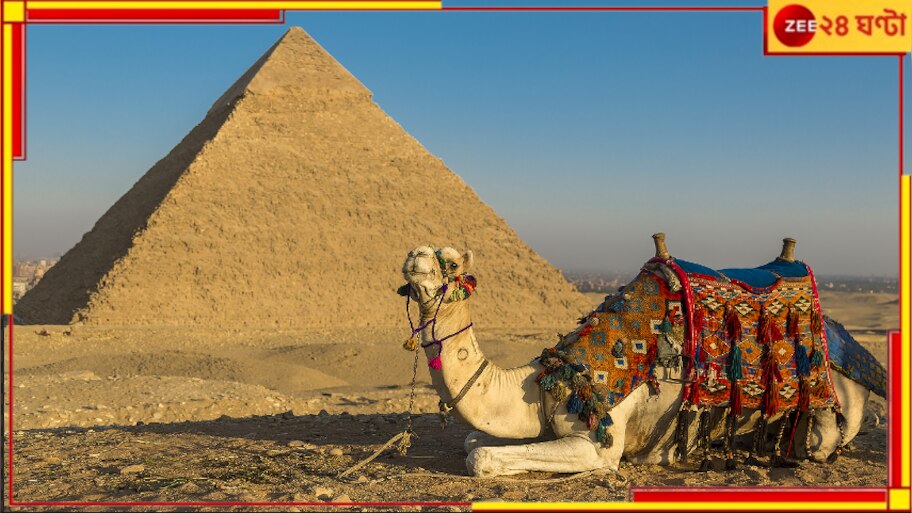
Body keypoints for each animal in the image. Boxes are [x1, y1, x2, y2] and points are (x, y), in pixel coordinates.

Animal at [399, 237, 885, 477]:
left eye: (452, 263)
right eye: (420, 249)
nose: (414, 256)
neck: (546, 381)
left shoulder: (599, 442)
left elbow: (480, 458)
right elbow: (472, 442)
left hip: (835, 402)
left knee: (825, 436)